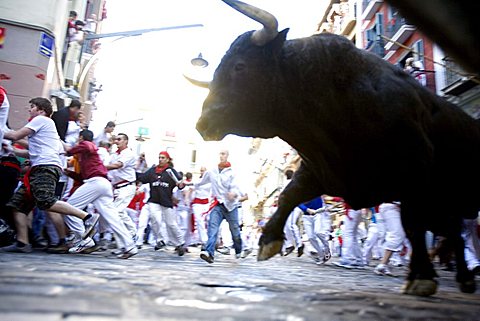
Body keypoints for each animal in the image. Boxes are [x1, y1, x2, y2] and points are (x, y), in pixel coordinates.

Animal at [189, 0, 478, 296]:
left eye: (239, 66)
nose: (203, 123)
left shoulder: (415, 173)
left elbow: (412, 225)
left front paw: (423, 278)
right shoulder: (321, 169)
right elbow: (288, 195)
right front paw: (269, 241)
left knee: (450, 232)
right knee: (452, 232)